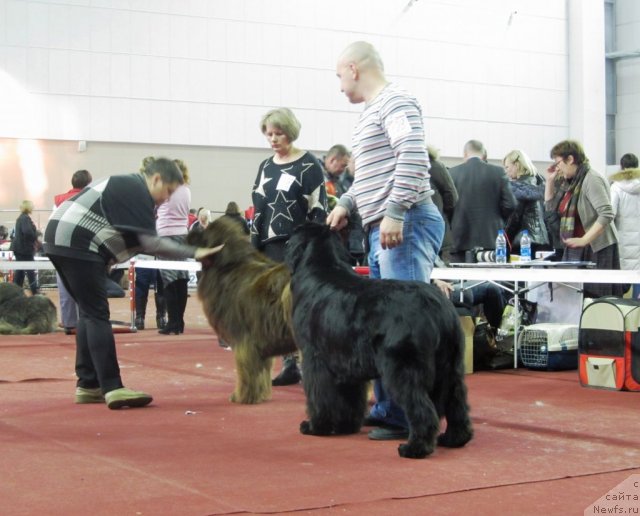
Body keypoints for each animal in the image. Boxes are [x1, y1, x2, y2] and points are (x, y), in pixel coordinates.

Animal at [185, 217, 296, 404]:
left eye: (203, 232)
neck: (227, 267)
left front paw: (242, 396)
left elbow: (247, 370)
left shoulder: (244, 339)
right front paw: (260, 394)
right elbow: (261, 372)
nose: (187, 234)